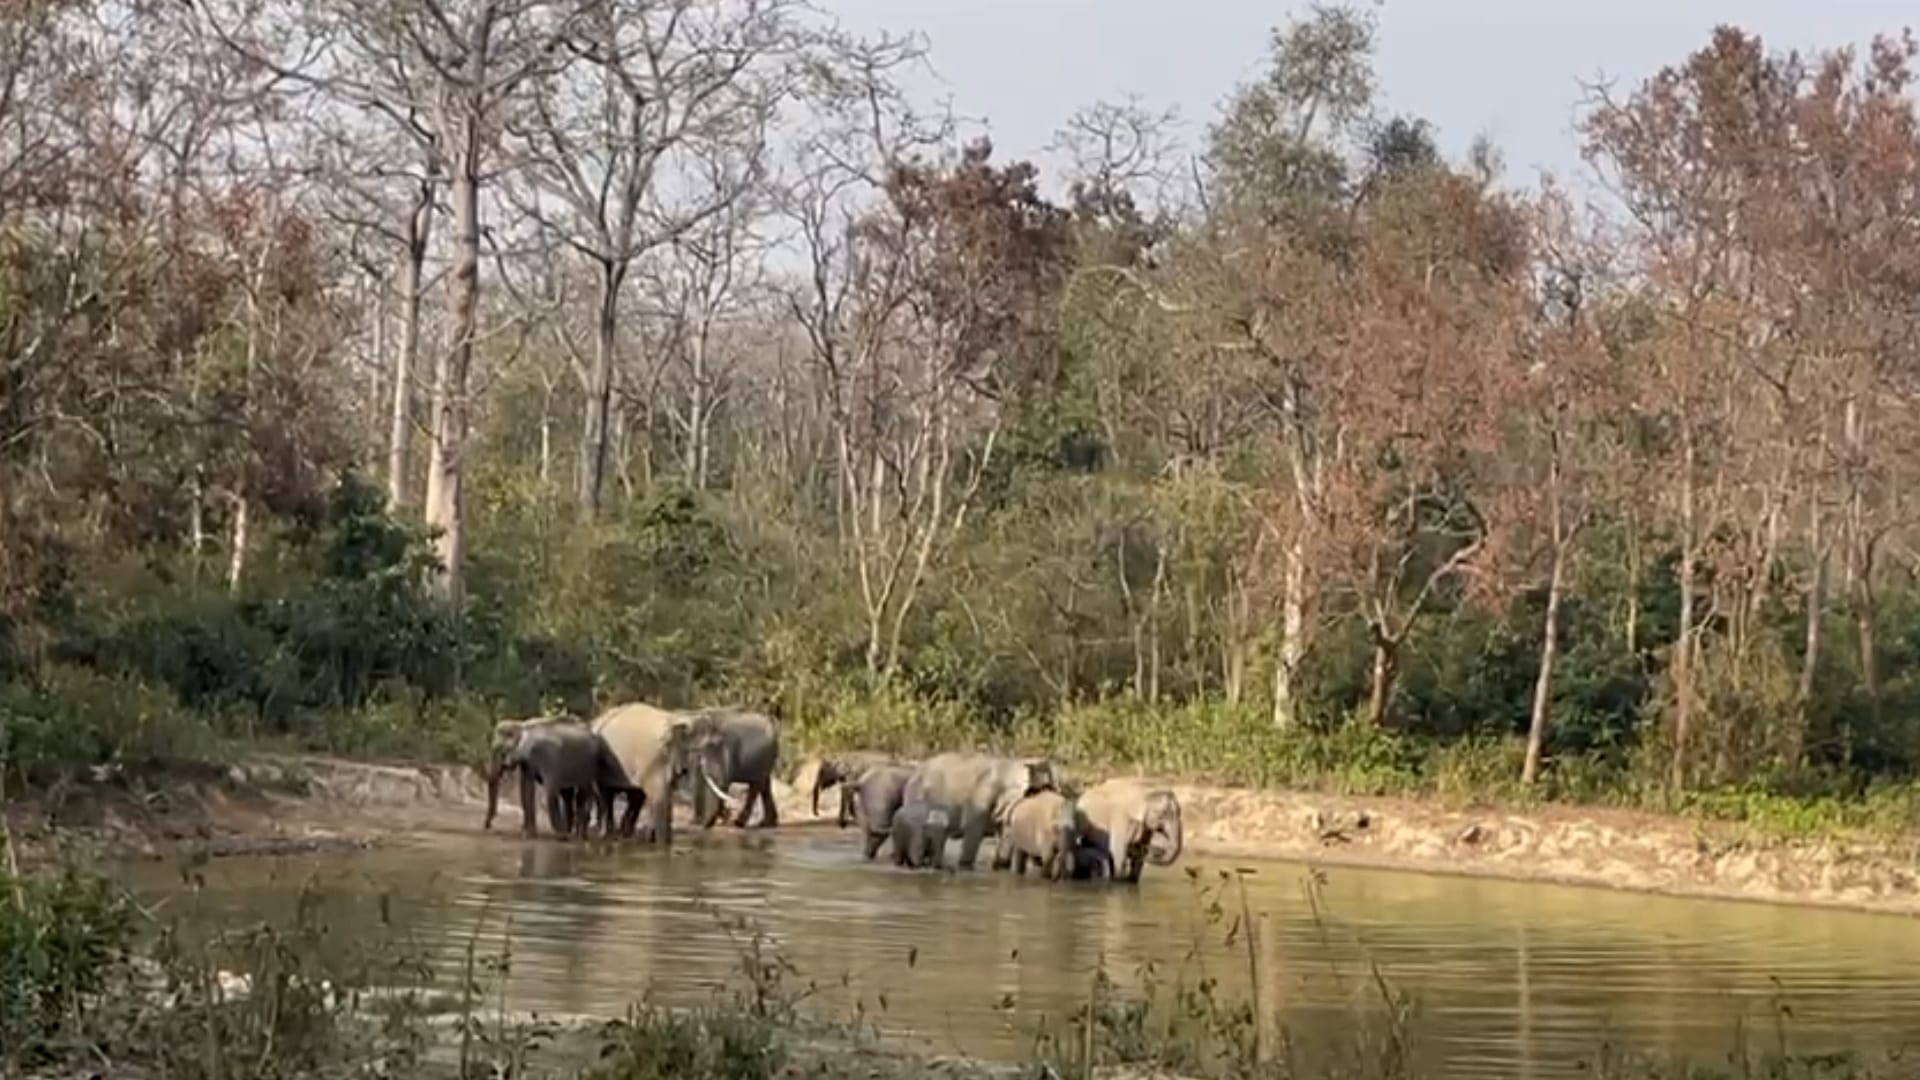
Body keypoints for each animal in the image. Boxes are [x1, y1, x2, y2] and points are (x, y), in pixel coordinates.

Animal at [482, 716, 613, 840]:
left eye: (501, 750)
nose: (488, 826)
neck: (522, 725)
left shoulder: (547, 756)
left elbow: (546, 789)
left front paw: (559, 836)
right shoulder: (528, 761)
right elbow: (526, 788)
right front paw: (528, 834)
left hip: (589, 764)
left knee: (582, 793)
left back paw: (576, 835)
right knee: (569, 795)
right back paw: (571, 832)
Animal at [590, 702, 727, 844]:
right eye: (702, 750)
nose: (700, 826)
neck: (677, 718)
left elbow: (664, 795)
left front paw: (652, 839)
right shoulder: (654, 758)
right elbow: (660, 796)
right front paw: (662, 844)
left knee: (634, 796)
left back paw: (624, 833)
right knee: (606, 795)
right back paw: (608, 835)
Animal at [899, 752, 1058, 871]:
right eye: (1043, 789)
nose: (1038, 861)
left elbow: (1005, 836)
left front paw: (1000, 866)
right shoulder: (980, 799)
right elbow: (973, 831)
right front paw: (965, 866)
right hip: (917, 795)